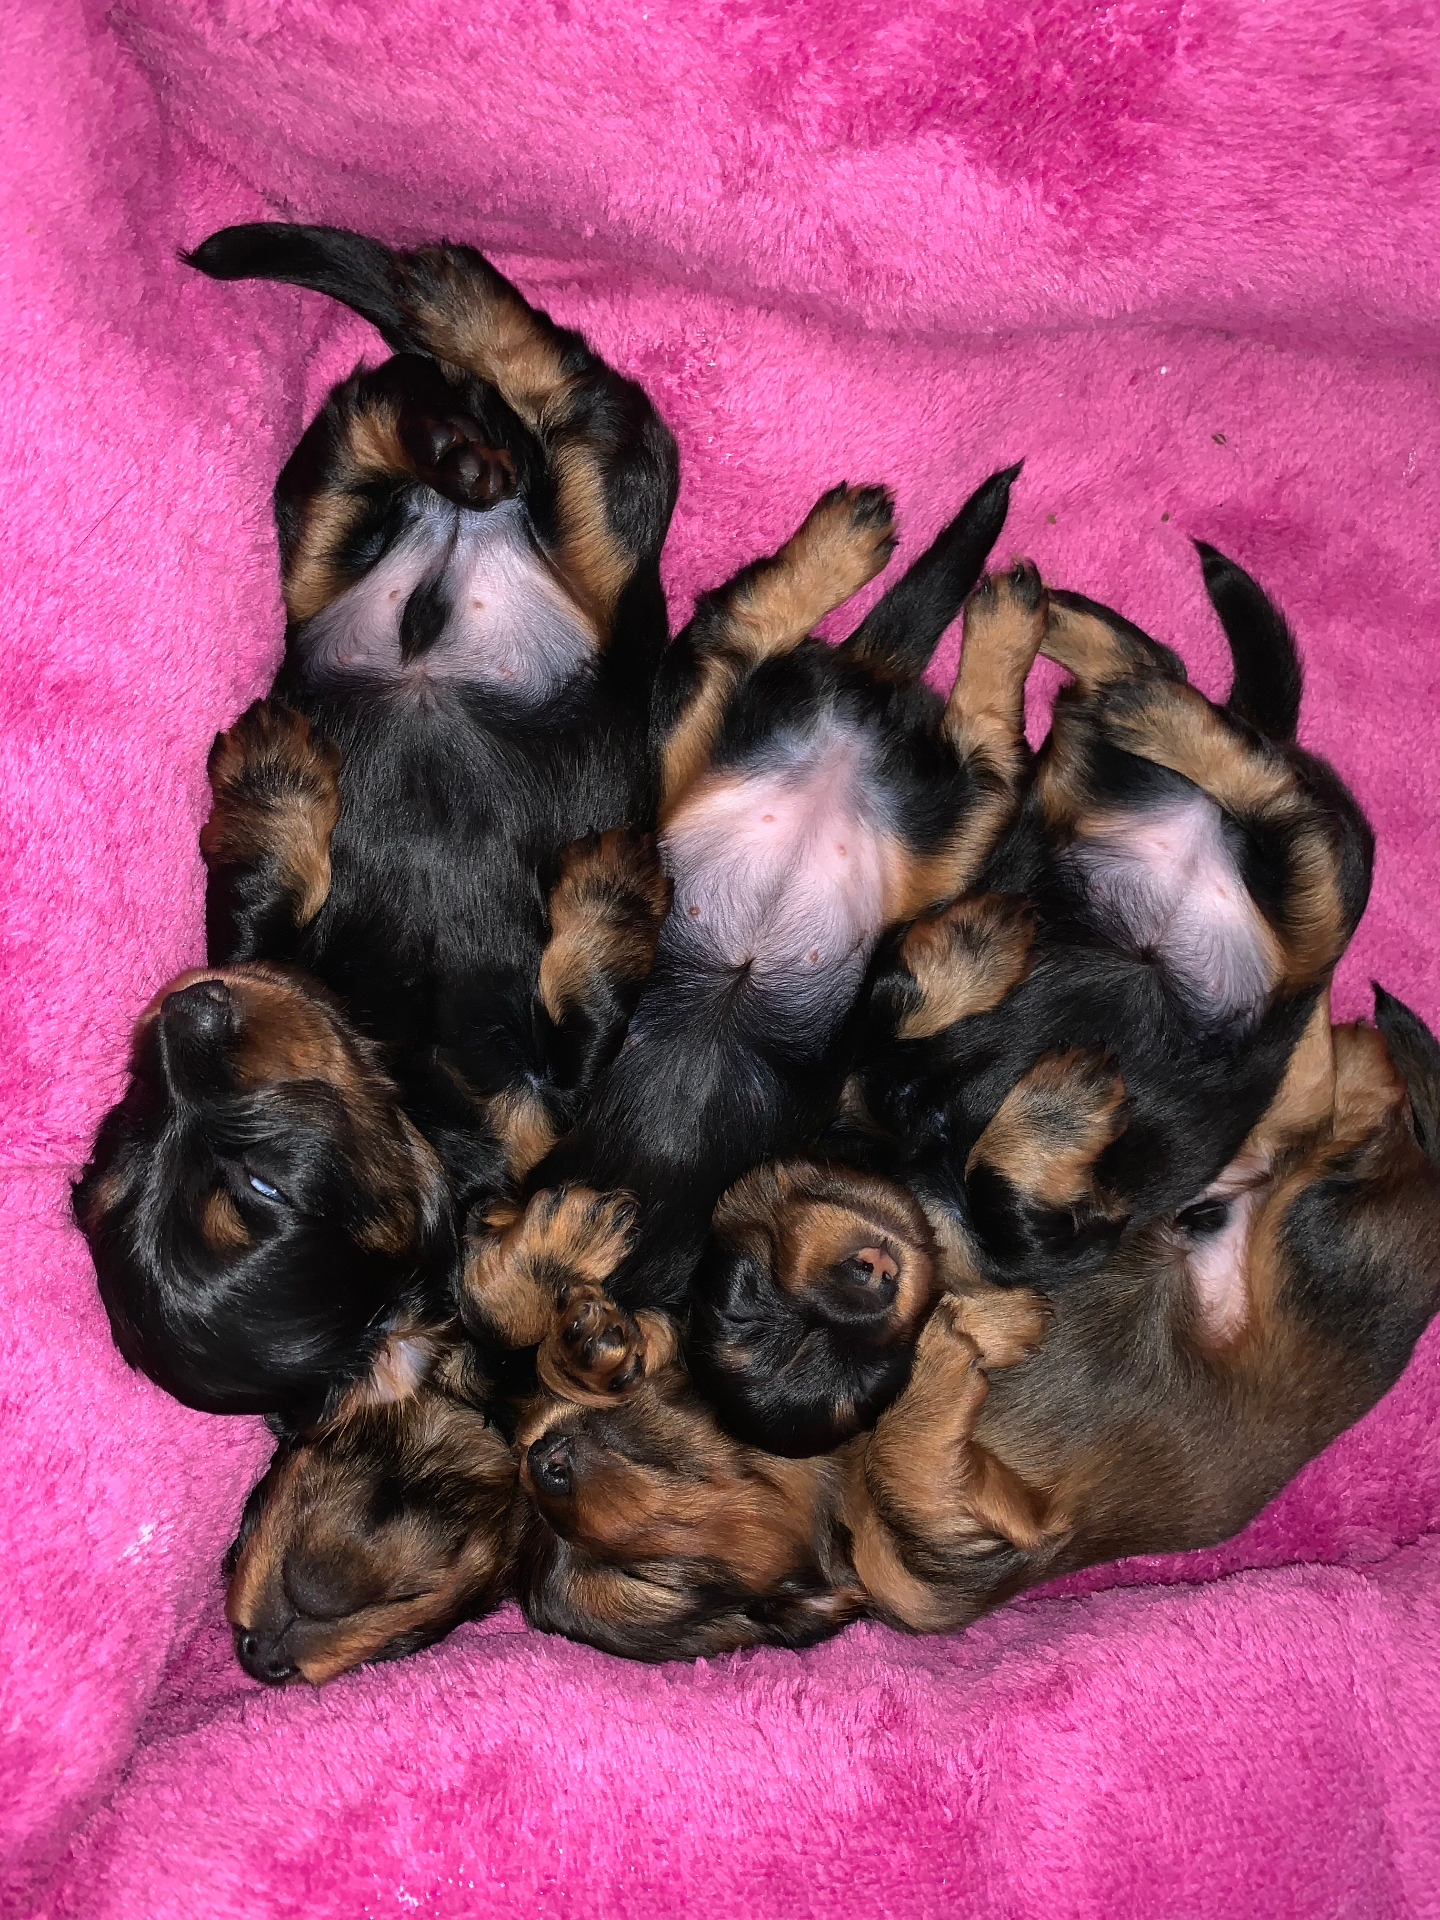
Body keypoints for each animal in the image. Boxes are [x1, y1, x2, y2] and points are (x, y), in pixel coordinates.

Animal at [74, 222, 677, 1421]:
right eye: (144, 1121)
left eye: (258, 1185)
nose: (179, 1013)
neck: (391, 1054)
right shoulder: (541, 1116)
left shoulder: (259, 954)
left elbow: (254, 905)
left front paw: (267, 781)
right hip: (558, 529)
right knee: (567, 413)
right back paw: (459, 363)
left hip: (370, 534)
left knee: (459, 408)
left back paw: (453, 379)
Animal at [461, 466, 1044, 1405]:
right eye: (743, 1294)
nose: (873, 1267)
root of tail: (859, 713)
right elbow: (499, 1304)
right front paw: (568, 1276)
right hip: (857, 787)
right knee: (763, 644)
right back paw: (905, 569)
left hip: (918, 816)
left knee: (964, 735)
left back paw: (918, 576)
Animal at [511, 984, 1440, 1659]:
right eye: (651, 1584)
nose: (541, 1461)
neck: (827, 1473)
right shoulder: (934, 1571)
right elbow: (909, 1468)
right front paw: (962, 1344)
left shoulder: (935, 1219)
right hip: (1318, 1241)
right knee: (1353, 1115)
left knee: (1334, 1094)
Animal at [688, 545, 1375, 1453]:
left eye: (758, 1282)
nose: (871, 1271)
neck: (905, 1159)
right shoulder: (1054, 1242)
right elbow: (1003, 1190)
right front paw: (1062, 1102)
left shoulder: (867, 1040)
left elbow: (899, 1000)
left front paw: (985, 969)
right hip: (1242, 869)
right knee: (1267, 792)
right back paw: (1120, 681)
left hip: (1210, 862)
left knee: (1239, 754)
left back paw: (1068, 635)